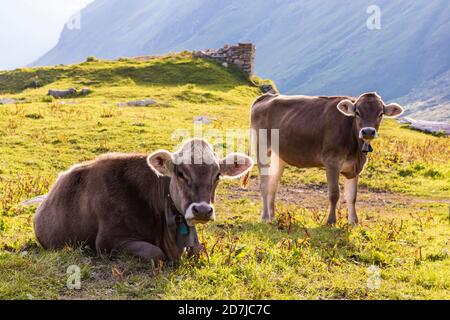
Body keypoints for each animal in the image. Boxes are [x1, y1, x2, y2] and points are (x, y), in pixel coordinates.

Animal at [34, 139, 253, 262]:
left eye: (217, 175)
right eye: (180, 173)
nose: (202, 210)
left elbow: (199, 249)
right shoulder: (108, 241)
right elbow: (156, 253)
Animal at [243, 92, 404, 225]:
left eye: (380, 114)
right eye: (357, 113)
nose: (368, 131)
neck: (356, 151)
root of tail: (268, 96)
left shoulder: (355, 167)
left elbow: (352, 196)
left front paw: (353, 222)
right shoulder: (332, 162)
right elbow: (334, 194)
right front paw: (331, 221)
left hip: (279, 156)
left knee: (273, 184)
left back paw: (272, 217)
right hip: (262, 148)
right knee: (264, 184)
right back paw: (265, 217)